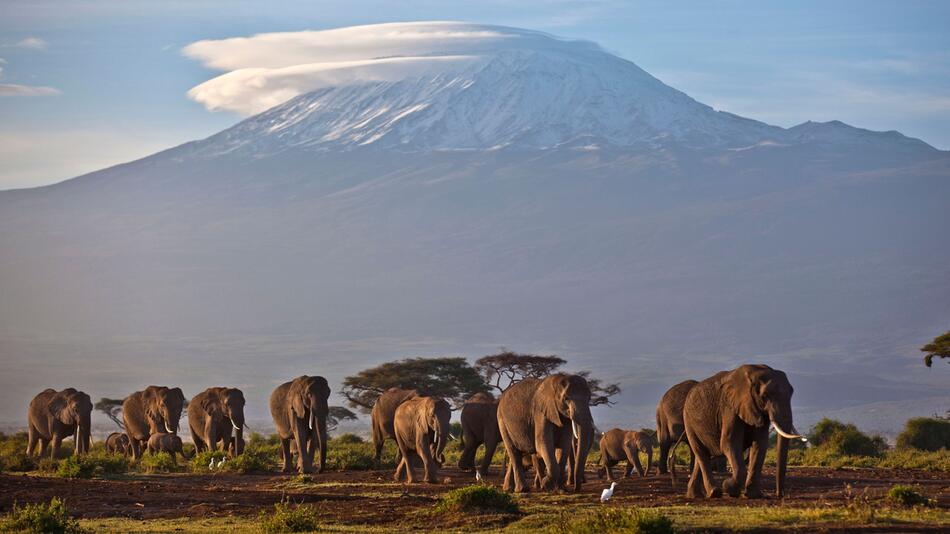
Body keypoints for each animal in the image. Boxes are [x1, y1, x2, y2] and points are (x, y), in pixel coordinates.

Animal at [684, 366, 804, 500]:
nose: (779, 495)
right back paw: (714, 492)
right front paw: (728, 487)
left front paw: (753, 495)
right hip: (689, 422)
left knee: (702, 456)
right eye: (765, 395)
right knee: (701, 453)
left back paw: (695, 495)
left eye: (791, 394)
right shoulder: (729, 408)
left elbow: (760, 445)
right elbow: (729, 443)